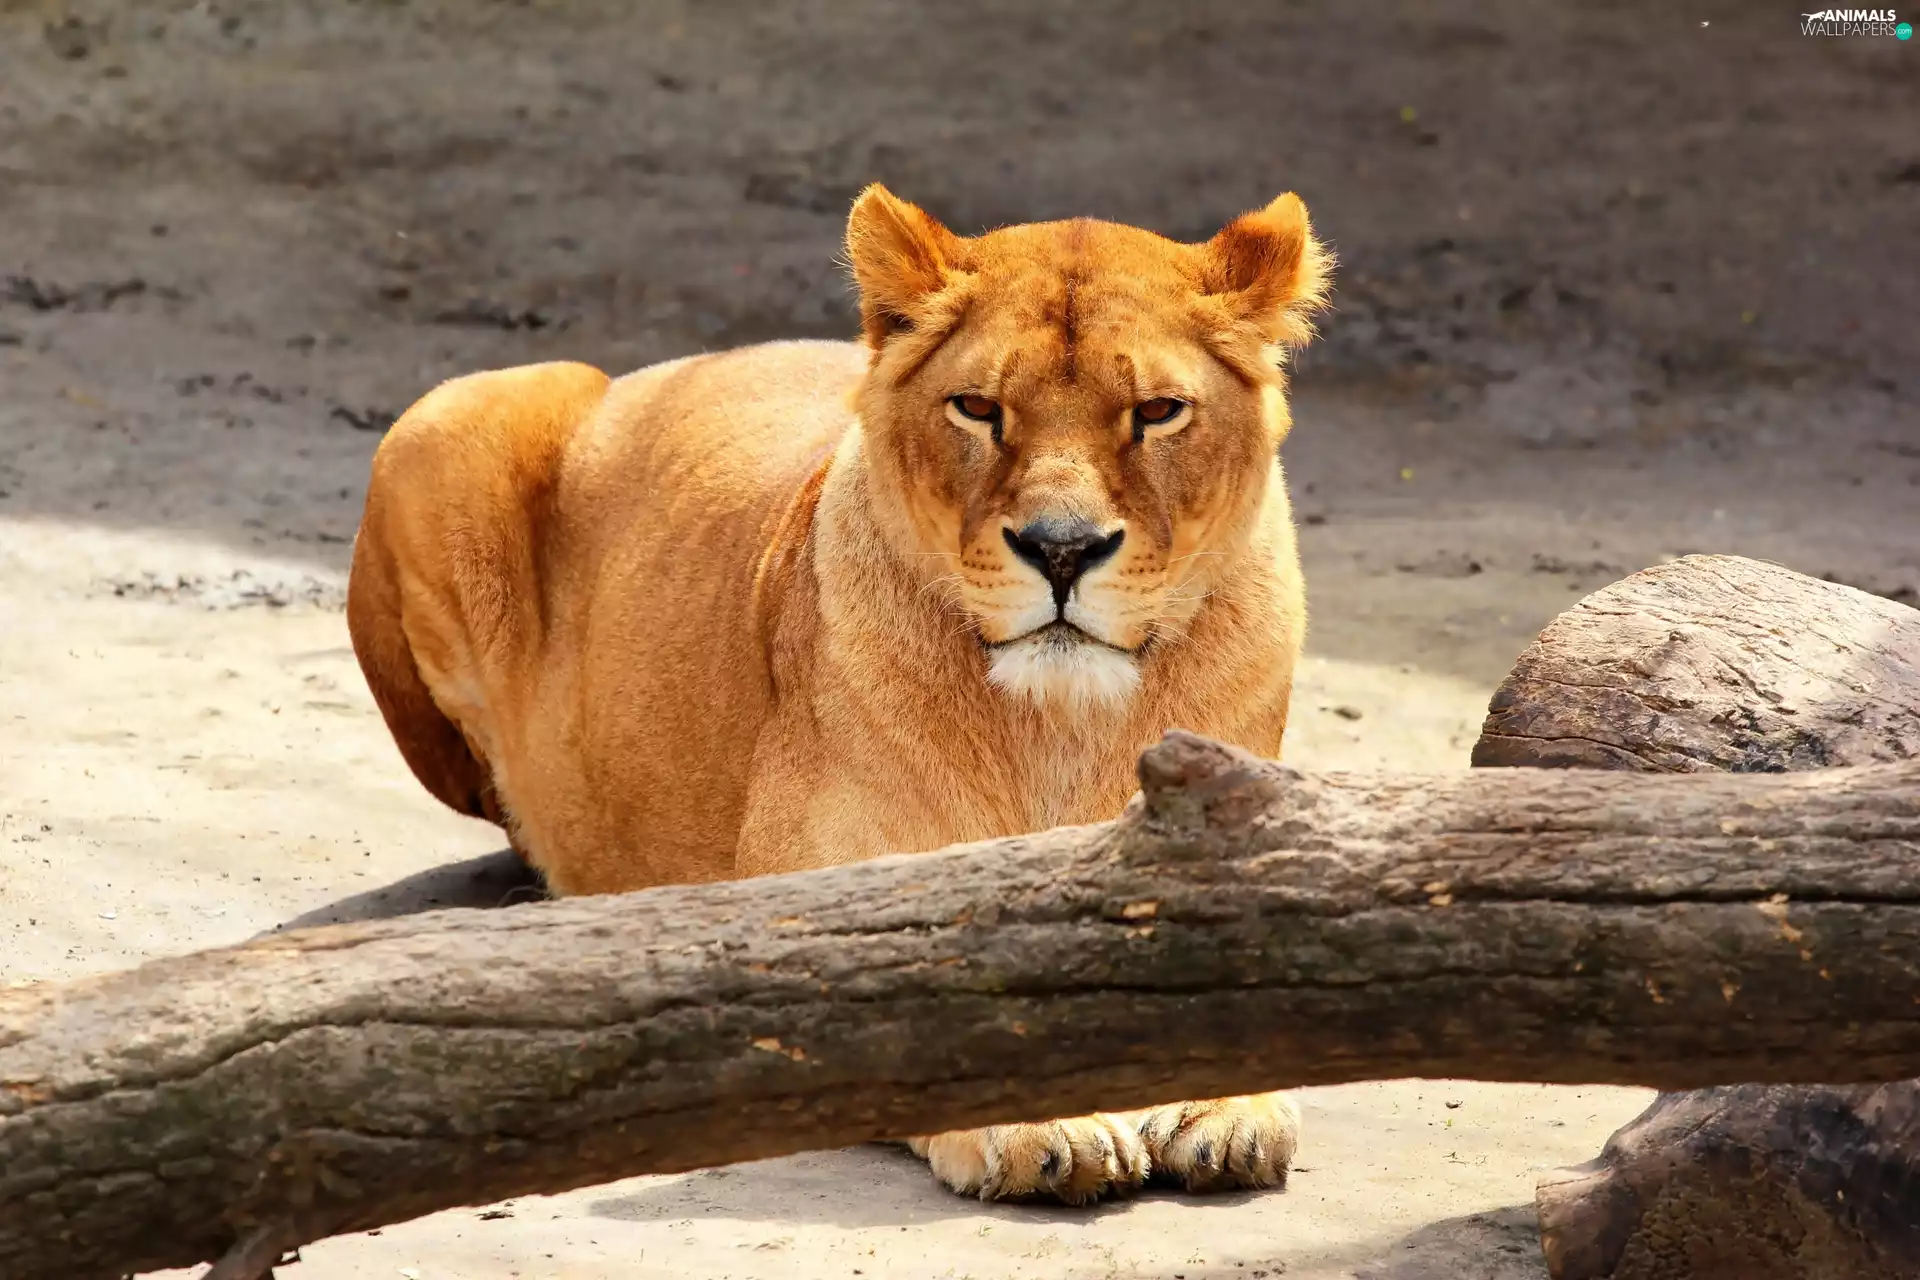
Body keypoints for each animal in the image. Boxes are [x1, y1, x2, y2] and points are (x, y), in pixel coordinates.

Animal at [346, 184, 1331, 1205]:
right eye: (978, 408)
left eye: (1159, 412)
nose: (1061, 550)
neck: (1061, 719)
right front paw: (1041, 1123)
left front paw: (1228, 1107)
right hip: (449, 415)